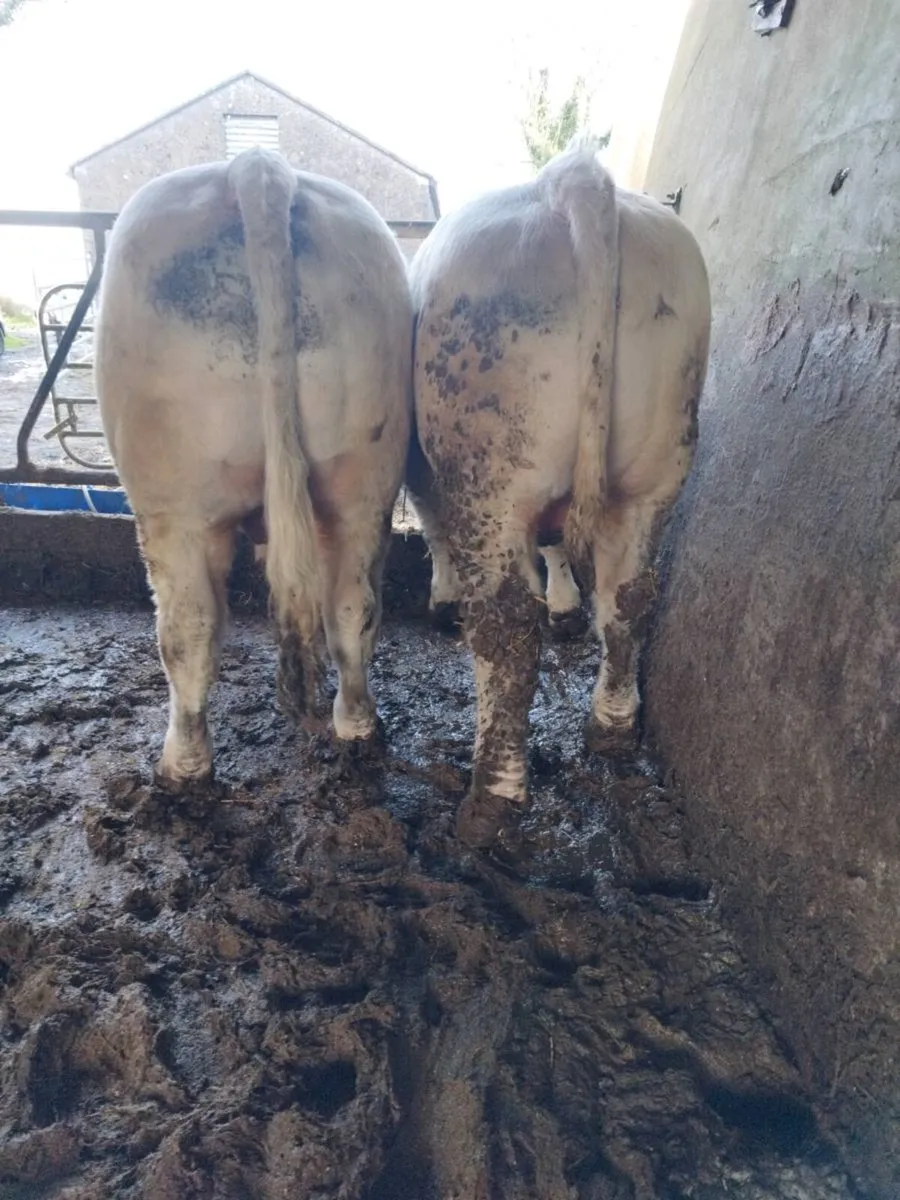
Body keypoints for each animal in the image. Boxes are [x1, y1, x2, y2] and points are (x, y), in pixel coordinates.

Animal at [96, 148, 413, 785]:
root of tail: (255, 164)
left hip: (174, 502)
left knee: (188, 629)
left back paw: (183, 764)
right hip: (365, 480)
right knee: (353, 609)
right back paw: (357, 725)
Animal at [407, 142, 711, 848]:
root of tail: (567, 180)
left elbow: (435, 528)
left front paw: (442, 598)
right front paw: (568, 607)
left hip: (486, 470)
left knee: (507, 626)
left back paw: (490, 798)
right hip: (656, 471)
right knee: (629, 600)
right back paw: (612, 729)